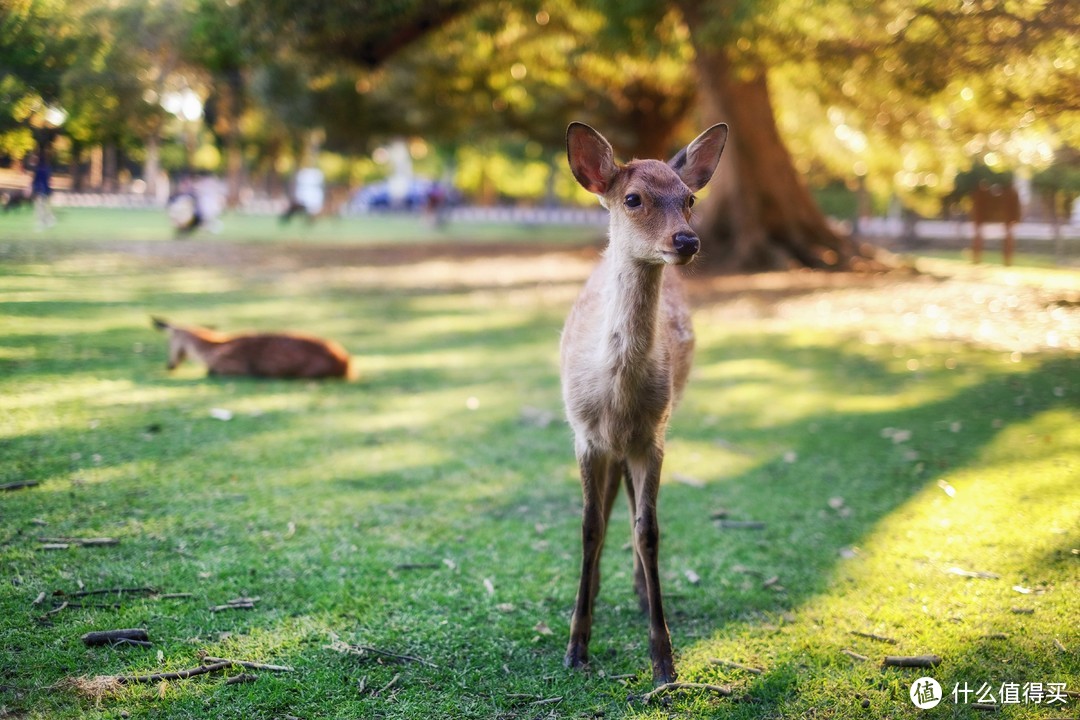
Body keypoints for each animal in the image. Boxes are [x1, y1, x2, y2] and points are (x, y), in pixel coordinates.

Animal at [561, 120, 730, 686]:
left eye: (690, 198)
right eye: (633, 198)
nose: (687, 240)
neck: (614, 396)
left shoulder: (652, 436)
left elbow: (649, 529)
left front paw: (664, 660)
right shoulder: (585, 435)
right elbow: (590, 526)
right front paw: (576, 646)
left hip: (653, 430)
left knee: (633, 505)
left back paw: (635, 590)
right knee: (609, 505)